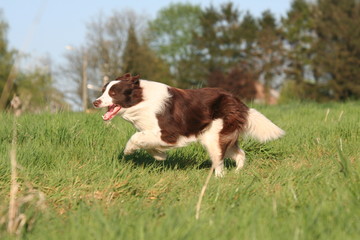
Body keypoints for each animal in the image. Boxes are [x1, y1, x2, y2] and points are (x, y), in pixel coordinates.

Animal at [93, 73, 284, 176]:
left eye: (113, 93)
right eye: (103, 91)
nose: (95, 102)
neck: (141, 99)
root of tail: (237, 102)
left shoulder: (169, 133)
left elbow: (136, 137)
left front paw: (129, 150)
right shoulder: (152, 132)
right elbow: (146, 141)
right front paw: (160, 156)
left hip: (214, 137)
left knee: (219, 162)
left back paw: (218, 179)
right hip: (219, 136)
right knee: (239, 153)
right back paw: (237, 173)